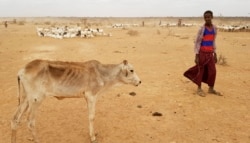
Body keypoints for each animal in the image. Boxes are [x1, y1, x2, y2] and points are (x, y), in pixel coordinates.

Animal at [11, 59, 141, 143]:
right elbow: (92, 117)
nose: (139, 82)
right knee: (30, 122)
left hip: (26, 99)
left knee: (15, 119)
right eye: (131, 70)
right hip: (36, 99)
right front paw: (92, 137)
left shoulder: (87, 98)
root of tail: (22, 71)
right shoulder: (91, 96)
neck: (103, 74)